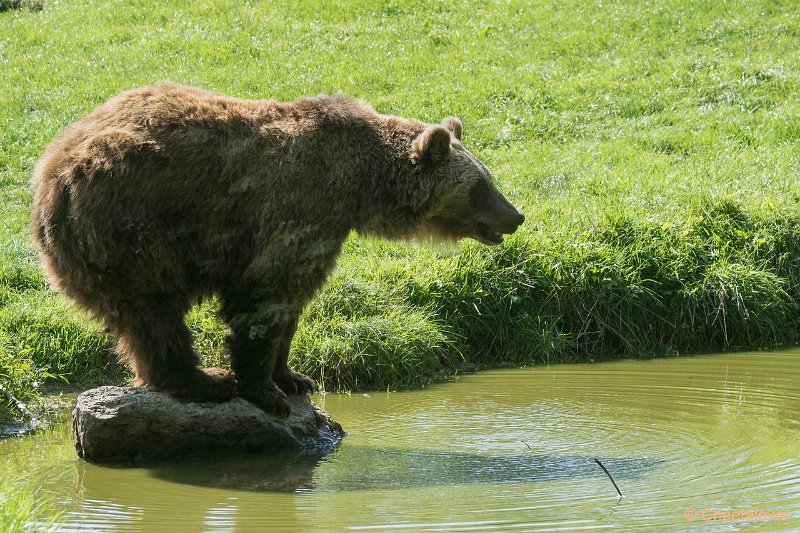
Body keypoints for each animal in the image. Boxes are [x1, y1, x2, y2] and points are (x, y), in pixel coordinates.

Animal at [29, 82, 524, 416]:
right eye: (480, 186)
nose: (516, 216)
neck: (360, 185)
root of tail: (49, 173)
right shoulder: (298, 205)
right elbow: (267, 293)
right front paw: (265, 391)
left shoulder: (326, 228)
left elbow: (293, 302)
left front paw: (293, 378)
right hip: (129, 224)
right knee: (155, 312)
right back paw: (204, 381)